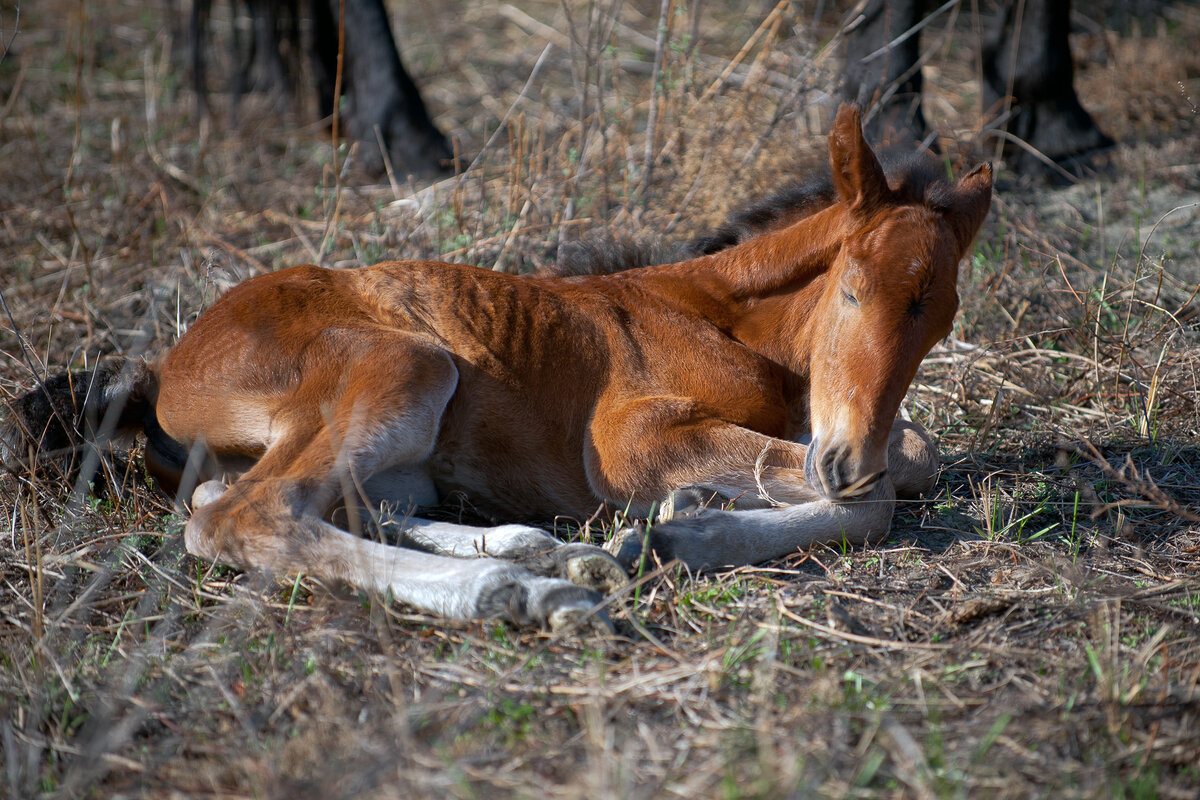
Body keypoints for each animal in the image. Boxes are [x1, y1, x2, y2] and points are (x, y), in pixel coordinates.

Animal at [4, 106, 988, 633]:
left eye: (940, 320)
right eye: (852, 292)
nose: (845, 454)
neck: (720, 314)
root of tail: (163, 367)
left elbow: (911, 455)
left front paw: (684, 518)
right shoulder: (624, 441)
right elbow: (880, 494)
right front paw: (680, 529)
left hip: (397, 452)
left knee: (294, 500)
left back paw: (546, 553)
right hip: (404, 364)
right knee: (245, 515)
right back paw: (521, 588)